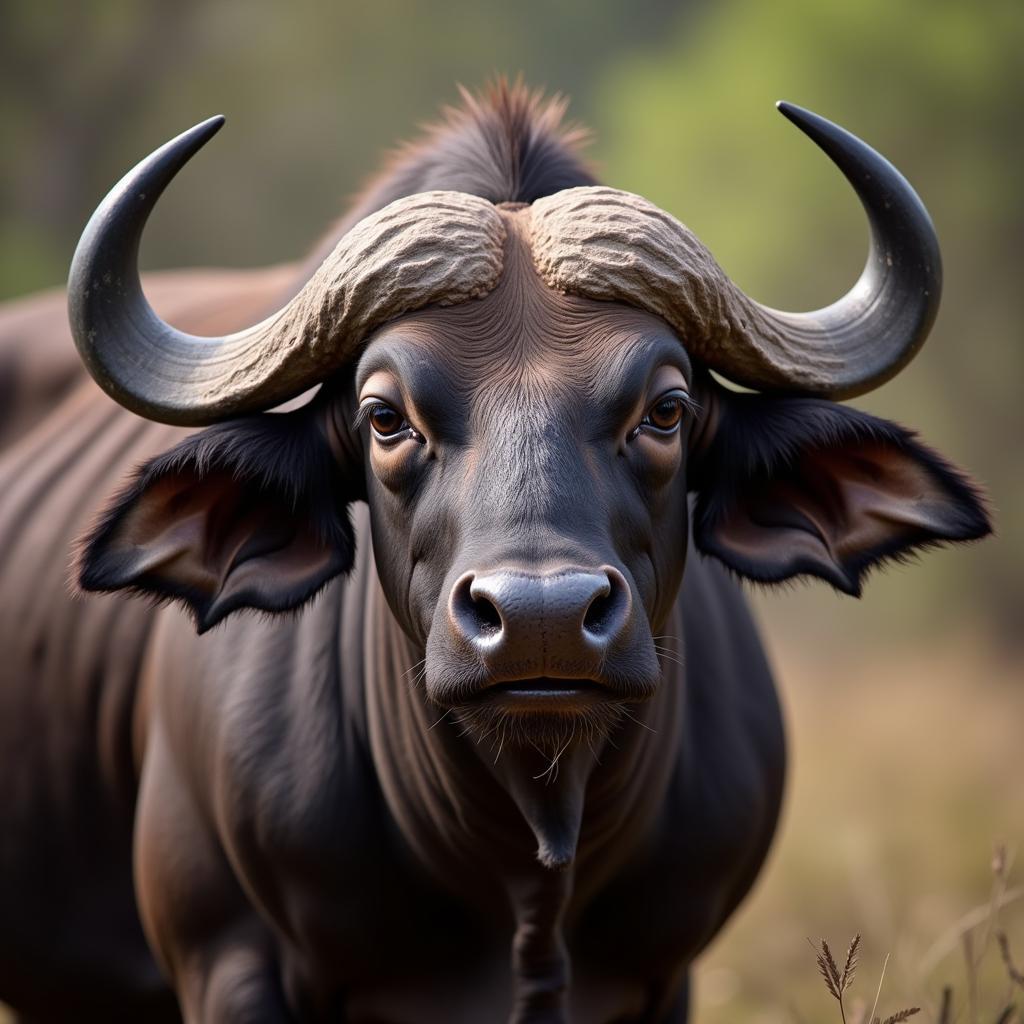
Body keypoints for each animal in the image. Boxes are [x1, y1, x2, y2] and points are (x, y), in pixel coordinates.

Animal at [0, 88, 991, 1024]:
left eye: (666, 409)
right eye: (384, 416)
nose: (540, 620)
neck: (527, 868)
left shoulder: (665, 977)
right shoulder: (225, 959)